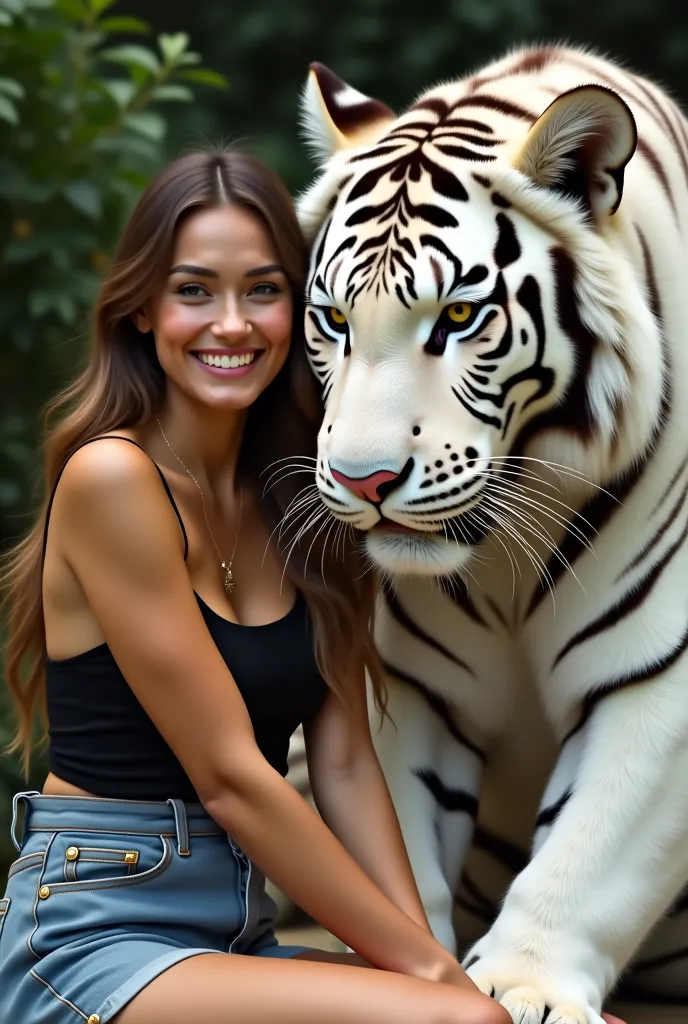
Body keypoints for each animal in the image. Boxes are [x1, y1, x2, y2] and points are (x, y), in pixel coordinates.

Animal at [288, 44, 688, 1024]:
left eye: (459, 318)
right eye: (334, 320)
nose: (363, 481)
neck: (504, 549)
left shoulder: (660, 674)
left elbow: (593, 847)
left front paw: (524, 985)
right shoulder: (405, 682)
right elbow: (394, 834)